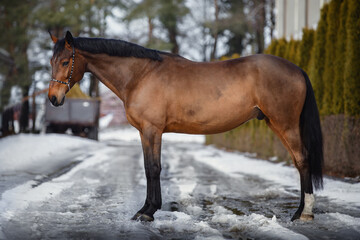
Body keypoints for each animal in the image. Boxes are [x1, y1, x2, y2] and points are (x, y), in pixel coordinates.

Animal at [47, 31, 324, 222]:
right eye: (51, 61)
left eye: (65, 62)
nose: (53, 98)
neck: (141, 75)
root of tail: (297, 69)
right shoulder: (145, 132)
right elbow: (148, 168)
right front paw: (146, 209)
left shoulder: (152, 129)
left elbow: (154, 168)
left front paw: (148, 212)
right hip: (276, 123)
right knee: (299, 163)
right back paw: (299, 211)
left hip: (285, 124)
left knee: (303, 160)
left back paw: (305, 213)